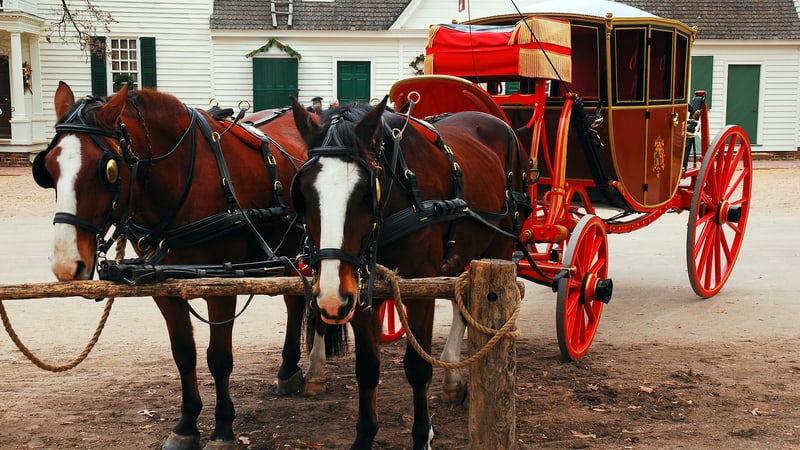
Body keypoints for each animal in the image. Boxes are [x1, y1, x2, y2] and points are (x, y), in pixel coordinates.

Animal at [29, 82, 338, 448]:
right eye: (48, 169)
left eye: (107, 170)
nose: (66, 264)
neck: (183, 181)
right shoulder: (162, 284)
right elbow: (184, 354)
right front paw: (187, 425)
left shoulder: (223, 285)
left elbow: (218, 358)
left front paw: (223, 428)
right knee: (294, 302)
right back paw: (289, 369)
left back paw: (315, 370)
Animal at [290, 97, 532, 446]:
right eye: (305, 194)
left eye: (365, 193)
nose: (331, 298)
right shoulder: (360, 291)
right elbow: (367, 368)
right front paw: (365, 436)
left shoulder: (420, 290)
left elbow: (418, 368)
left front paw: (421, 436)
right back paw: (453, 377)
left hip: (499, 246)